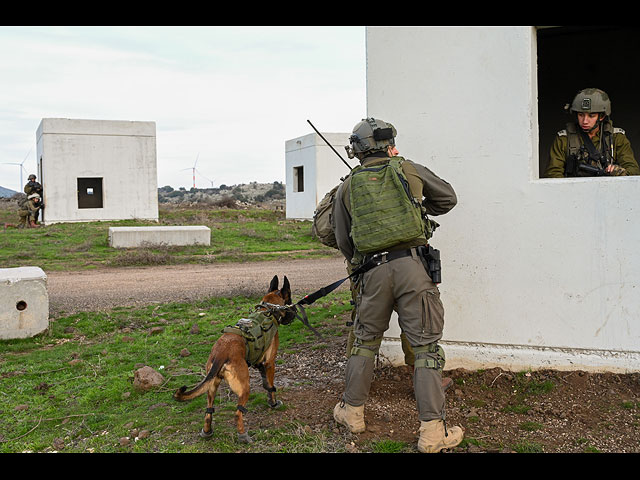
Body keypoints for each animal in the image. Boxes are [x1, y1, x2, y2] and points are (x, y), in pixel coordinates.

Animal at [174, 274, 296, 442]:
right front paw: (274, 403)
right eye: (290, 300)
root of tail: (221, 352)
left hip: (212, 387)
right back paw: (243, 435)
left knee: (208, 411)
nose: (295, 312)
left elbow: (266, 384)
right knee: (238, 412)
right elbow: (271, 387)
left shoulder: (260, 364)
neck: (268, 311)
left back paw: (207, 431)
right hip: (244, 387)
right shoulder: (270, 363)